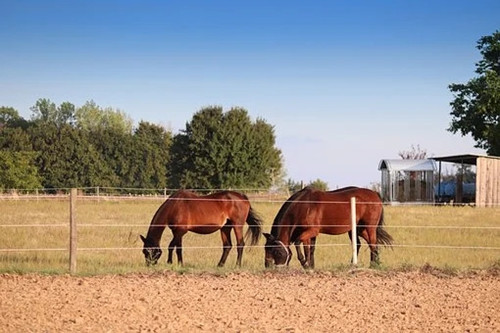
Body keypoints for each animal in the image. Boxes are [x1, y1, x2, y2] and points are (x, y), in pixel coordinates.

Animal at [264, 187, 392, 268]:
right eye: (265, 249)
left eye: (276, 251)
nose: (268, 266)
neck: (304, 205)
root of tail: (375, 194)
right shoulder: (311, 234)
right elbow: (310, 249)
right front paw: (311, 266)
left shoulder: (311, 231)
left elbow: (298, 244)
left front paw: (305, 263)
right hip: (358, 229)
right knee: (368, 244)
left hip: (369, 228)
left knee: (373, 244)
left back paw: (372, 265)